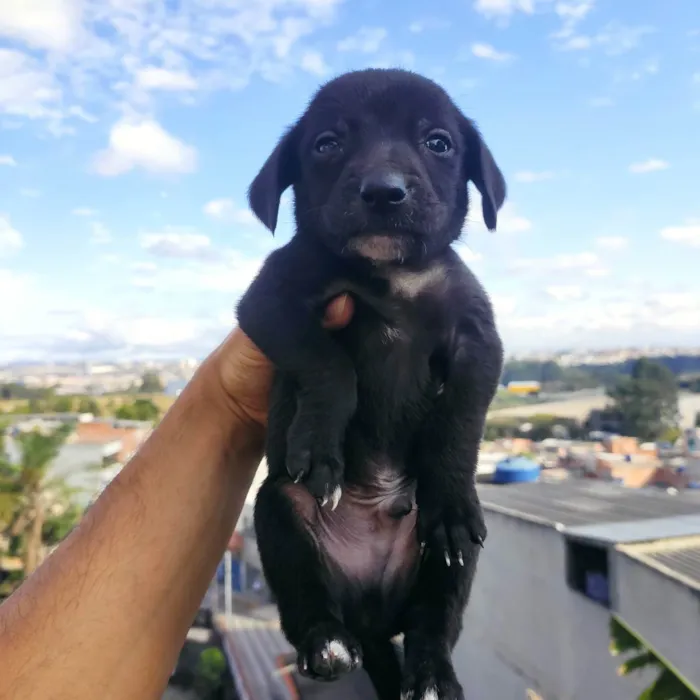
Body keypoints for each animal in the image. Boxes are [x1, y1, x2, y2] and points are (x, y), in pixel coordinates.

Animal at [238, 67, 506, 700]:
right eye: (326, 144)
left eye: (438, 142)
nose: (384, 192)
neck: (394, 276)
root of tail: (371, 618)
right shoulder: (273, 300)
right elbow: (328, 364)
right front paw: (320, 448)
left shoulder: (479, 343)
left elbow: (460, 421)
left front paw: (450, 495)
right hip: (279, 516)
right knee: (307, 605)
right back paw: (327, 644)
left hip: (445, 565)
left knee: (434, 623)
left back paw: (431, 675)